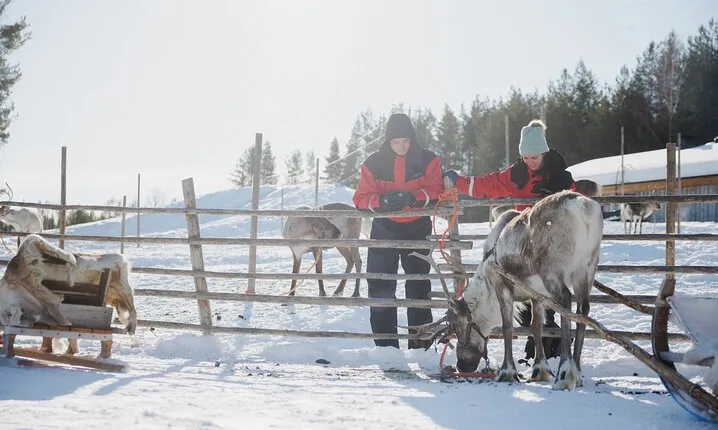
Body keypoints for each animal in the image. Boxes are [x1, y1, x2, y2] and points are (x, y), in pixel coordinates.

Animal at [418, 190, 603, 390]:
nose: (461, 365)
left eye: (456, 326)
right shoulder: (537, 295)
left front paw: (507, 372)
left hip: (553, 271)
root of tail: (582, 205)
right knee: (583, 310)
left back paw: (564, 375)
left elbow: (508, 327)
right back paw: (577, 373)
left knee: (566, 302)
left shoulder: (501, 285)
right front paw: (540, 371)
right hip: (587, 268)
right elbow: (536, 327)